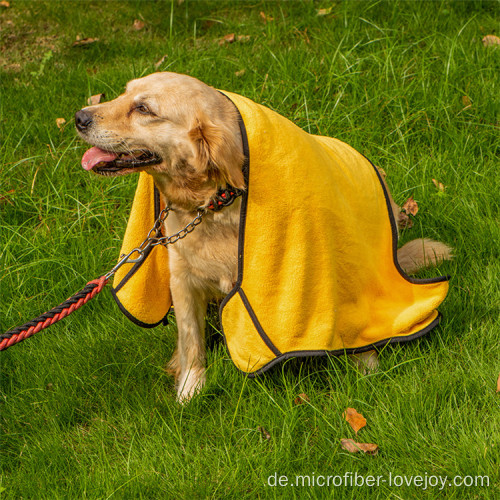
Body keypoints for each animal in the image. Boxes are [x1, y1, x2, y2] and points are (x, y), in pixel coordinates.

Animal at [75, 72, 454, 402]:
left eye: (143, 109)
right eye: (124, 93)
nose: (79, 117)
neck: (213, 204)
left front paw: (365, 359)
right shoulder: (182, 278)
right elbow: (192, 341)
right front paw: (190, 388)